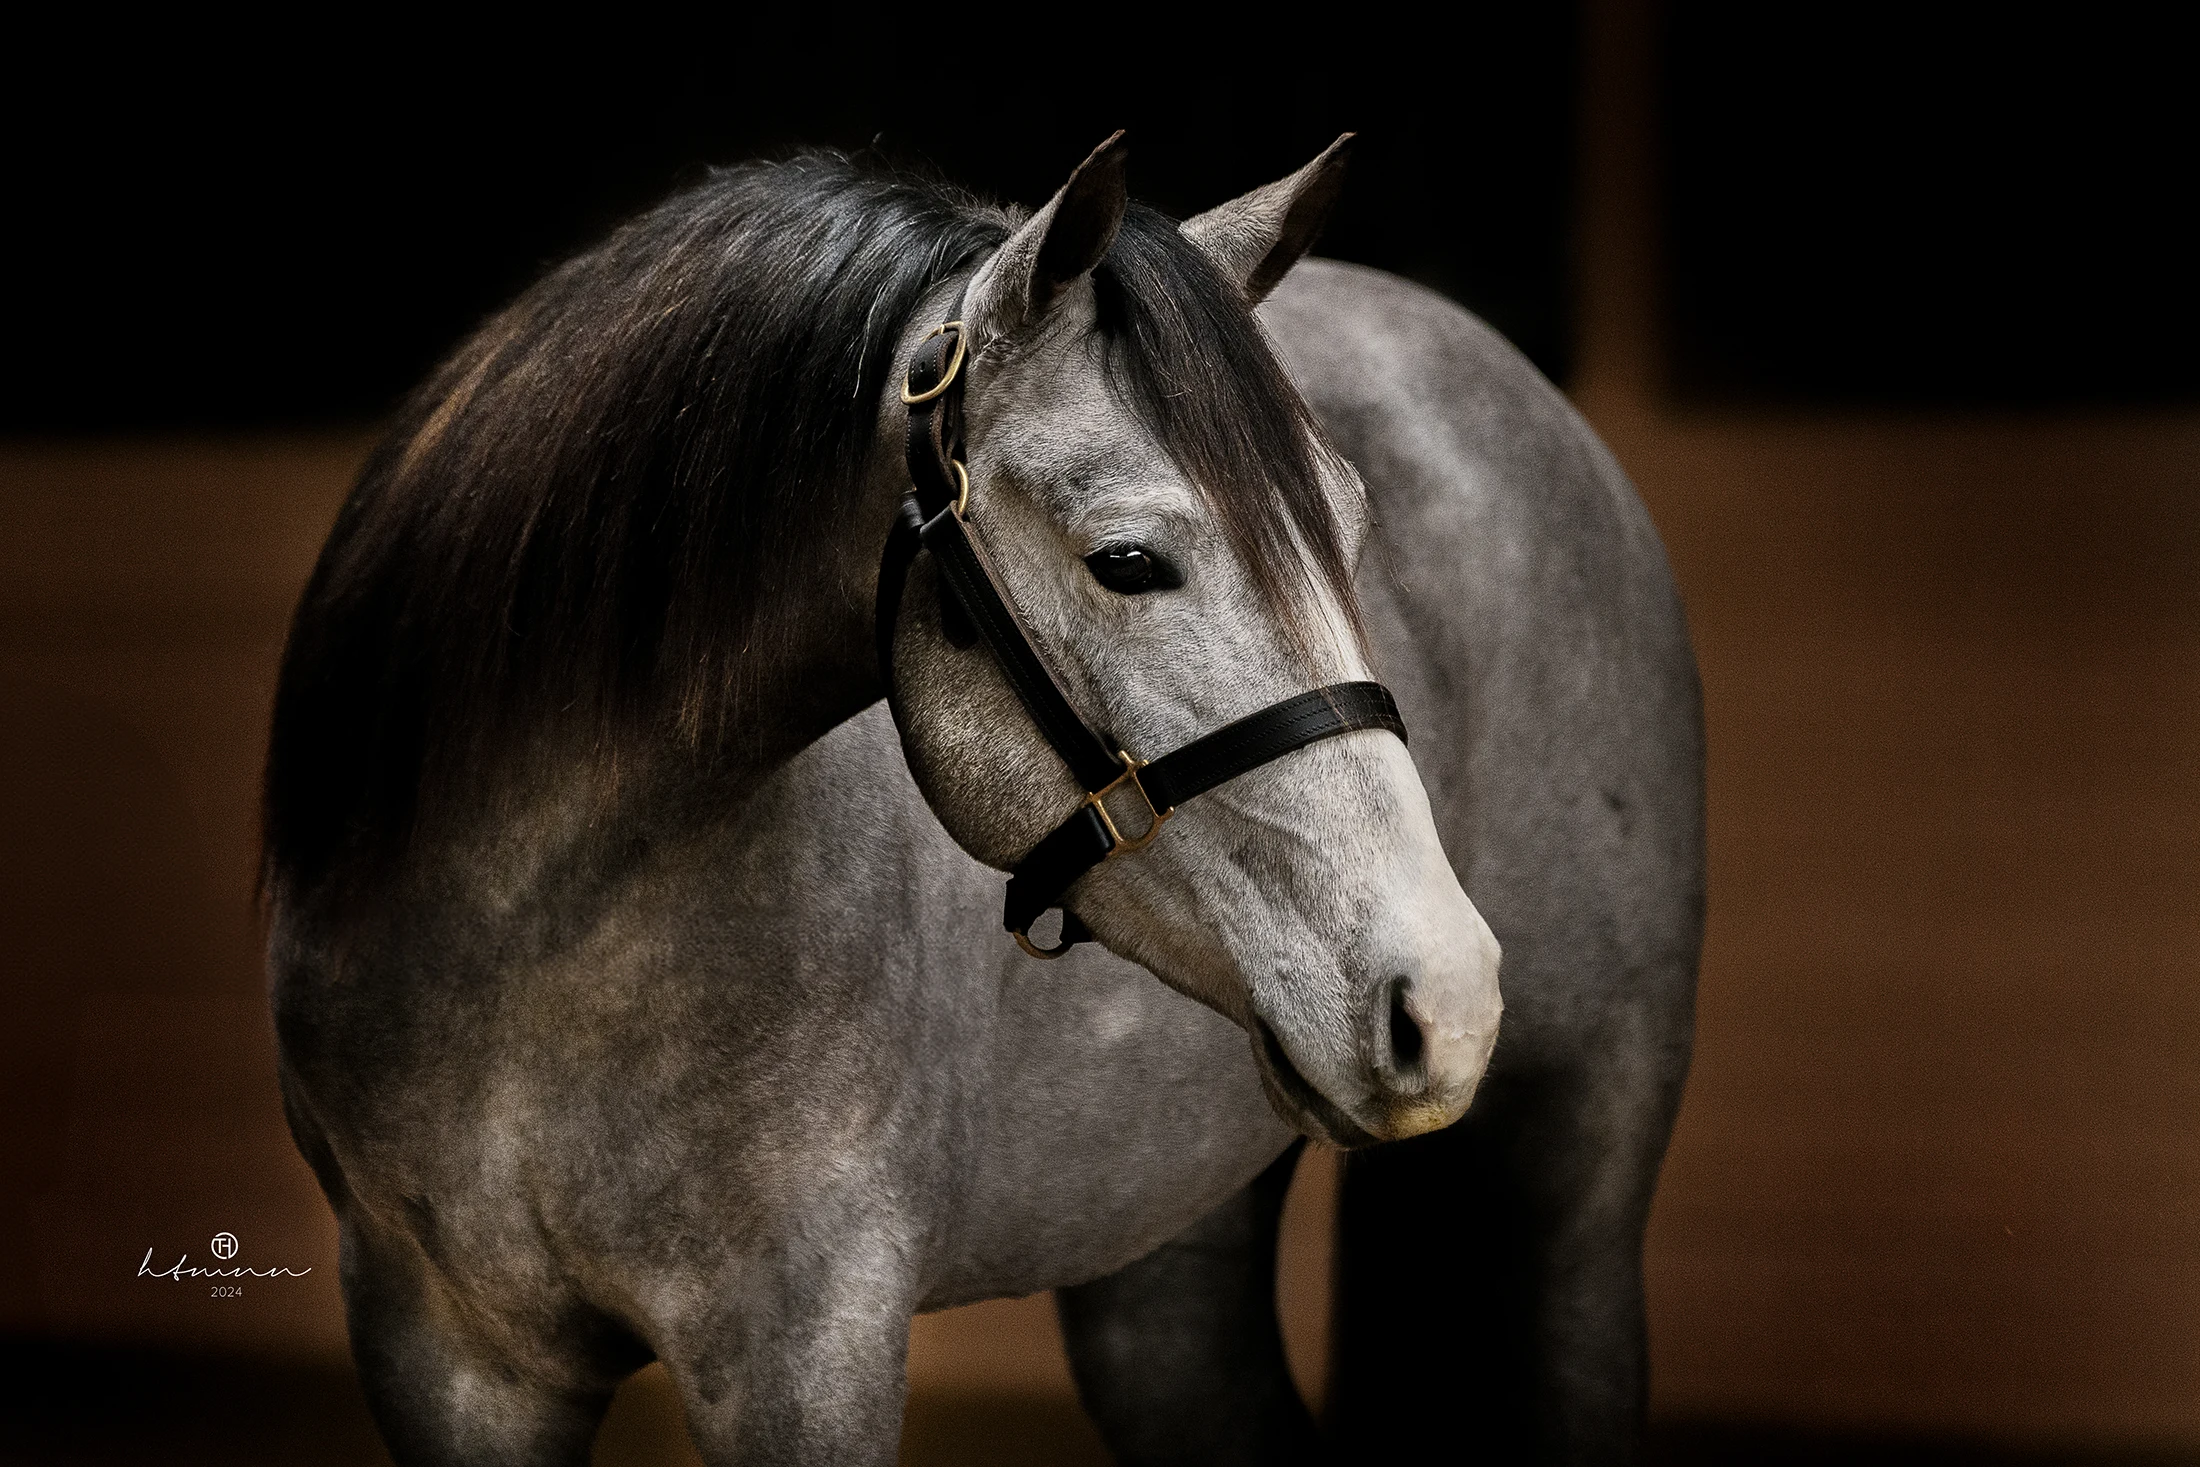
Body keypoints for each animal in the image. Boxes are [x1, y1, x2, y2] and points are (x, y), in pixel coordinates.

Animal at [257, 131, 1698, 1460]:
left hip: (1573, 1195)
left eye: (1351, 529)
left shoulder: (805, 1343)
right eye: (1127, 560)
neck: (536, 952)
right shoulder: (449, 1357)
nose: (1444, 998)